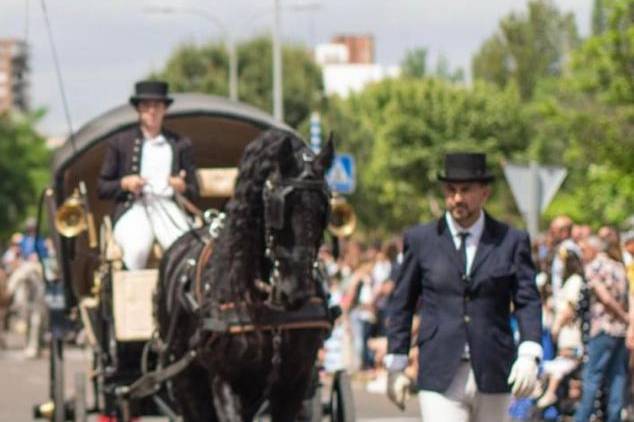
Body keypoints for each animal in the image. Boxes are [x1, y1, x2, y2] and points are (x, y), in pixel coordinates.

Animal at [154, 130, 334, 420]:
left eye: (323, 210)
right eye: (278, 207)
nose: (296, 290)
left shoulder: (293, 384)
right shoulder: (226, 381)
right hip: (186, 379)